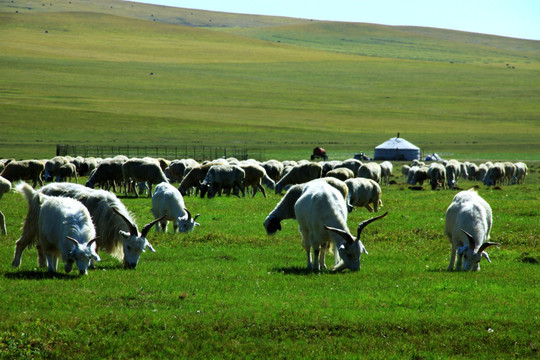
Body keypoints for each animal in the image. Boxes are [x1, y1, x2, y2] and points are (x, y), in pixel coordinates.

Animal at [12, 184, 165, 268]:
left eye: (141, 250)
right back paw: (16, 264)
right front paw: (91, 265)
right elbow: (93, 248)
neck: (110, 212)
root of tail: (36, 193)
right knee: (21, 243)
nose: (132, 266)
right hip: (32, 223)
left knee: (40, 246)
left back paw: (43, 265)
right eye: (128, 247)